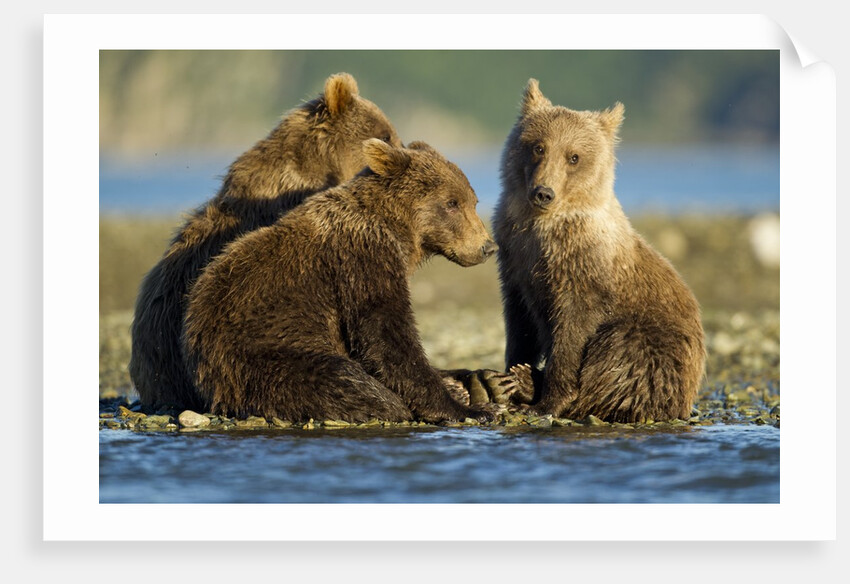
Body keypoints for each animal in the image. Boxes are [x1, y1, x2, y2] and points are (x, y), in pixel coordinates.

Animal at [182, 139, 500, 424]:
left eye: (474, 201)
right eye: (452, 202)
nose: (487, 247)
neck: (399, 231)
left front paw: (459, 386)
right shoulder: (362, 258)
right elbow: (384, 332)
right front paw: (466, 409)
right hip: (262, 355)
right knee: (344, 380)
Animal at [492, 79, 706, 423]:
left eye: (574, 156)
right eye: (538, 147)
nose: (543, 192)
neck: (542, 227)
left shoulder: (583, 266)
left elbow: (573, 329)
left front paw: (548, 400)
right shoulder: (515, 257)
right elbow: (520, 321)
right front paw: (509, 376)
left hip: (654, 343)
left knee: (621, 356)